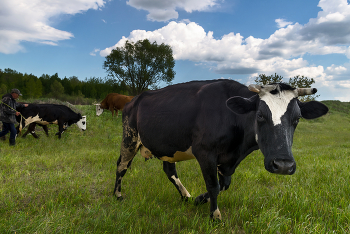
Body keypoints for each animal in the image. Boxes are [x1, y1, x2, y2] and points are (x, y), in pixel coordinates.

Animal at [113, 80, 330, 219]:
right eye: (260, 115)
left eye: (297, 118)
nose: (283, 165)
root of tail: (134, 99)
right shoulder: (205, 152)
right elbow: (214, 185)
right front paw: (214, 215)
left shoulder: (227, 160)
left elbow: (224, 184)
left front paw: (198, 200)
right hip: (130, 137)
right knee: (121, 165)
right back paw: (117, 195)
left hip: (167, 146)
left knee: (169, 170)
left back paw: (186, 196)